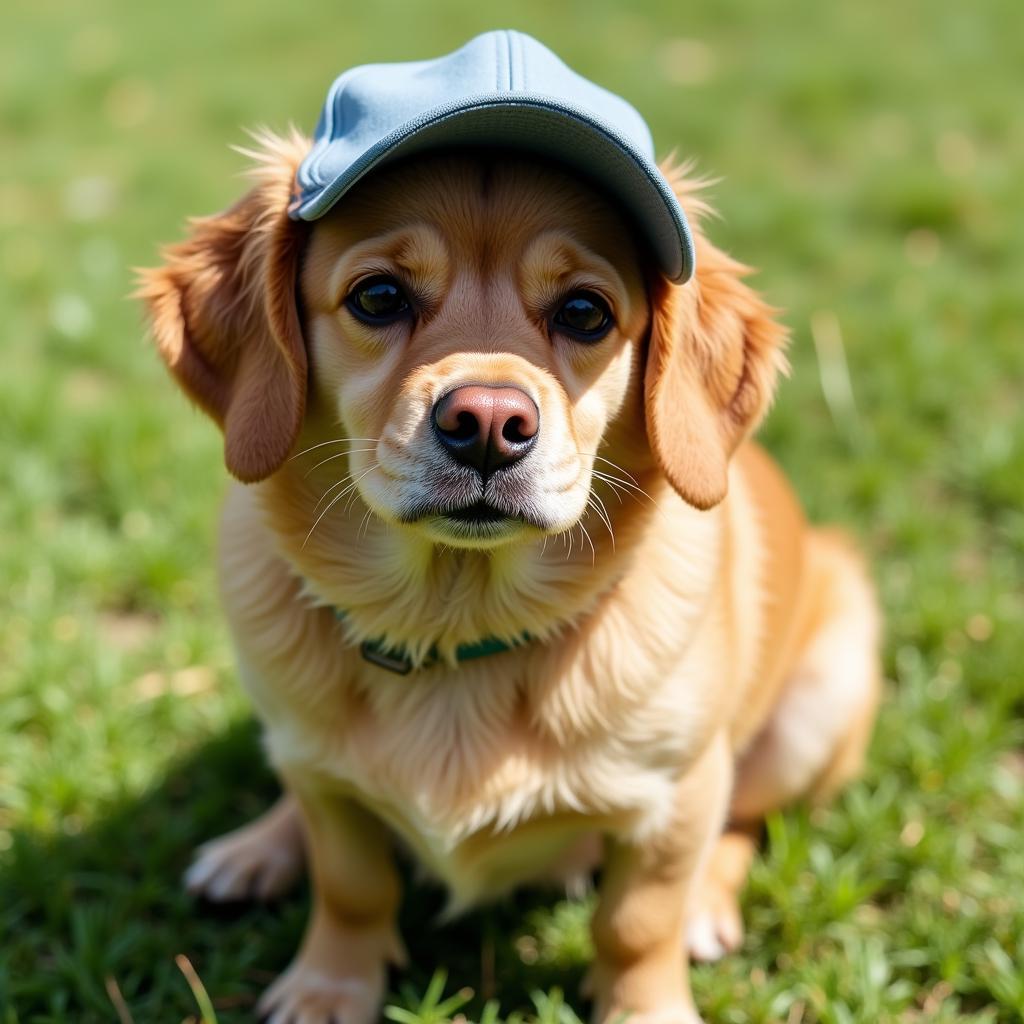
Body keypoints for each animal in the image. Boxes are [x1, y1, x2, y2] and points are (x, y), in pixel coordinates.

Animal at [140, 58, 880, 1024]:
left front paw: (648, 1000)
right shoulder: (324, 784)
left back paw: (708, 909)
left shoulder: (679, 796)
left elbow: (636, 923)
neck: (456, 624)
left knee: (748, 821)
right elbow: (352, 882)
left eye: (586, 312)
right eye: (378, 296)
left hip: (817, 701)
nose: (488, 423)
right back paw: (256, 849)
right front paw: (329, 987)